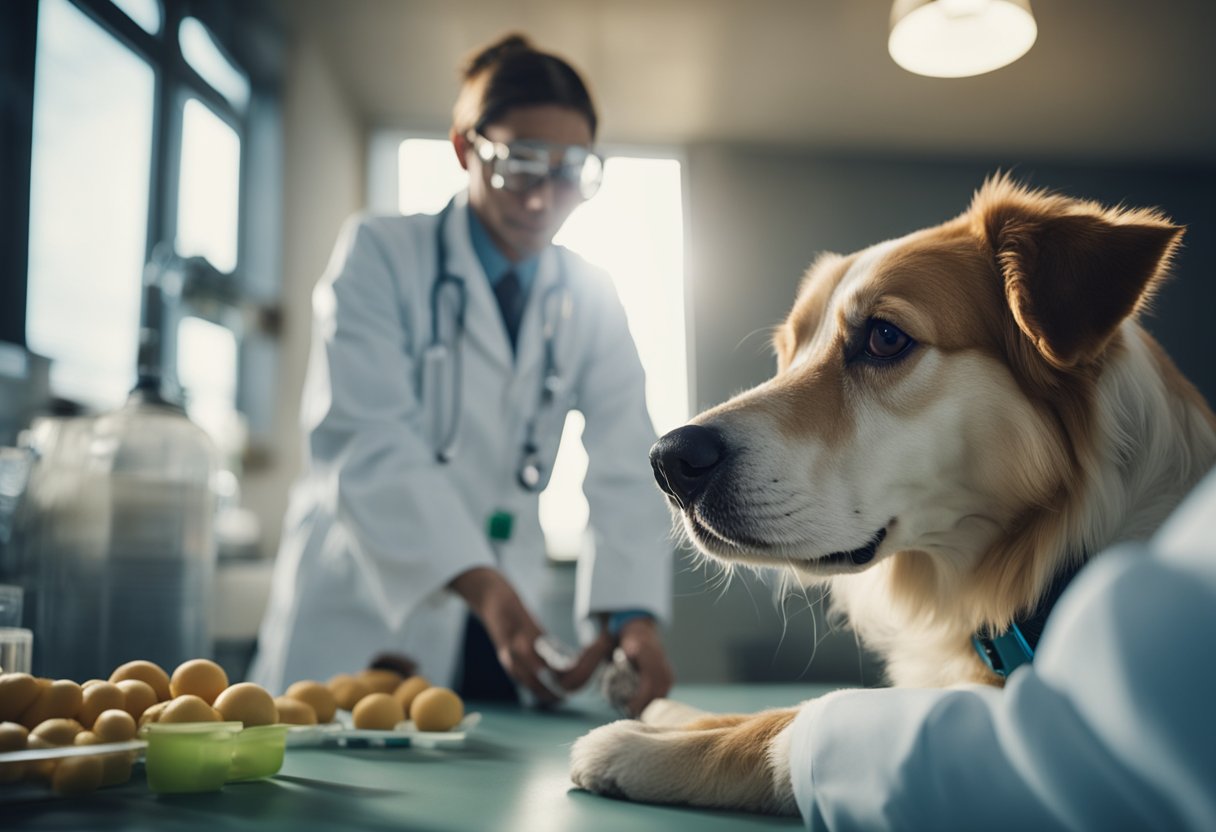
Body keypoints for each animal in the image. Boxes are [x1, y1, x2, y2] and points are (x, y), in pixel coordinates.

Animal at [569, 172, 1216, 817]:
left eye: (884, 337)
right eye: (790, 353)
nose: (668, 462)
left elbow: (792, 719)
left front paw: (638, 744)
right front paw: (668, 710)